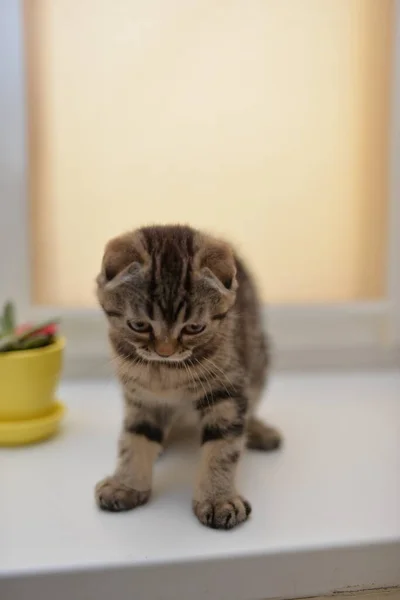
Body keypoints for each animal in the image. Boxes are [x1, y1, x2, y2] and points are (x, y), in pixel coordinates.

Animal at [95, 225, 280, 528]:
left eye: (194, 327)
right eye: (139, 325)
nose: (165, 351)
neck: (166, 372)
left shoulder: (227, 390)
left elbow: (223, 447)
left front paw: (218, 499)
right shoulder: (142, 396)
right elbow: (135, 439)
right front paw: (126, 484)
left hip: (257, 360)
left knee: (249, 408)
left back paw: (259, 431)